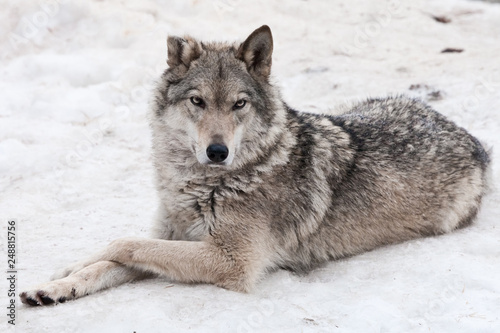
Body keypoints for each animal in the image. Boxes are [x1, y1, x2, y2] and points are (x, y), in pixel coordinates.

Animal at [20, 24, 488, 304]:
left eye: (238, 104)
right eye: (198, 101)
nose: (217, 151)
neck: (201, 185)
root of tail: (471, 138)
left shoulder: (231, 262)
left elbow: (126, 243)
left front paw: (76, 265)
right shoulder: (174, 234)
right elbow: (112, 259)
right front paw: (58, 282)